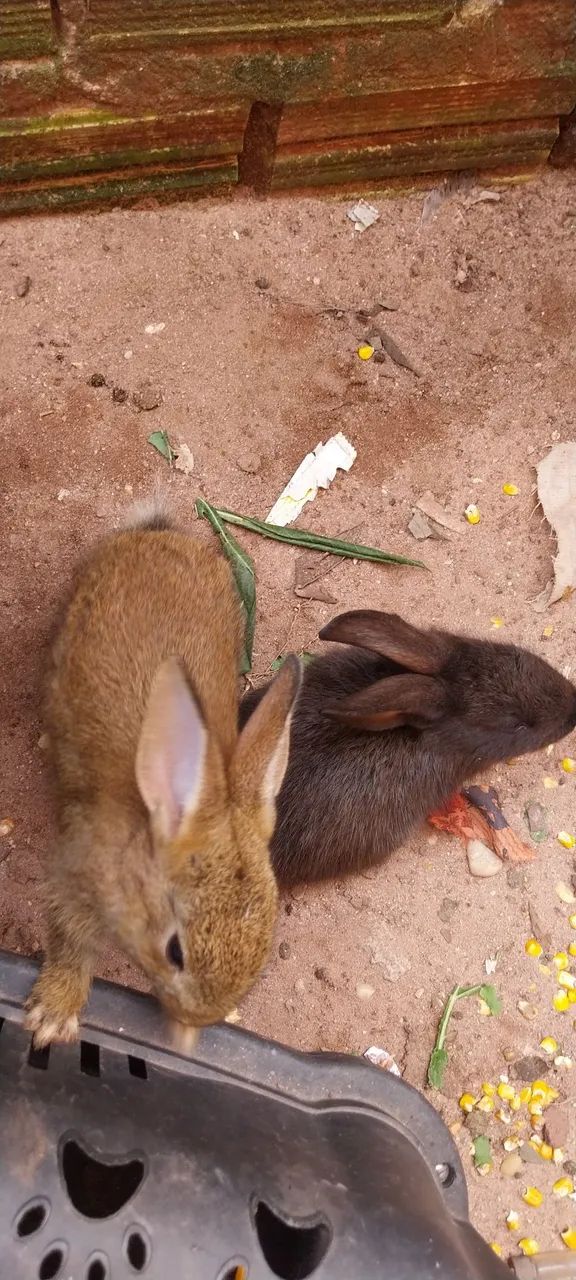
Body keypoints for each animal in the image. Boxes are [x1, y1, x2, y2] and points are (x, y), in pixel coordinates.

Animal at [25, 508, 301, 1047]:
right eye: (175, 951)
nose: (196, 1021)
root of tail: (157, 534)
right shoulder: (75, 884)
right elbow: (69, 944)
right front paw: (51, 1017)